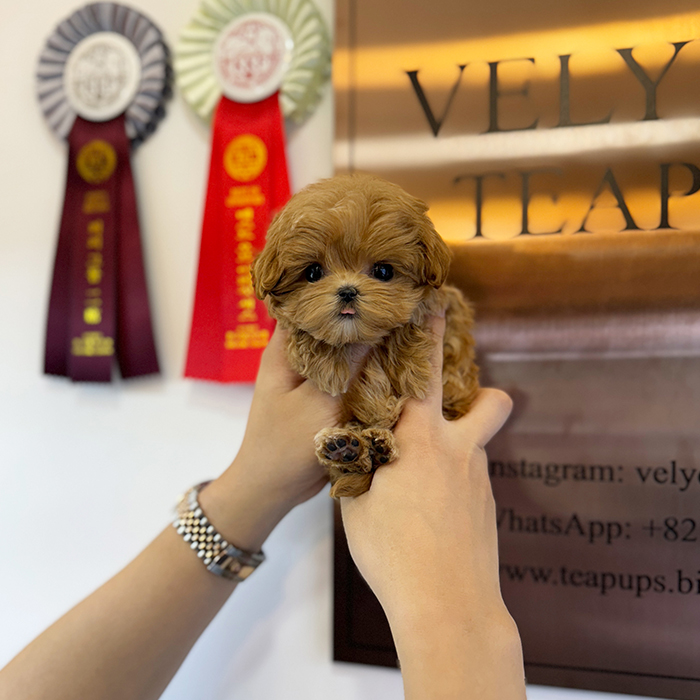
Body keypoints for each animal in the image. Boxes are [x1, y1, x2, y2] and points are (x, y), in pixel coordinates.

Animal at [253, 174, 482, 498]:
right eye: (312, 273)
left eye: (383, 271)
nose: (348, 291)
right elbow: (304, 335)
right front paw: (326, 363)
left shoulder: (448, 309)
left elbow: (412, 322)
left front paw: (409, 368)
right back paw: (350, 448)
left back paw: (372, 445)